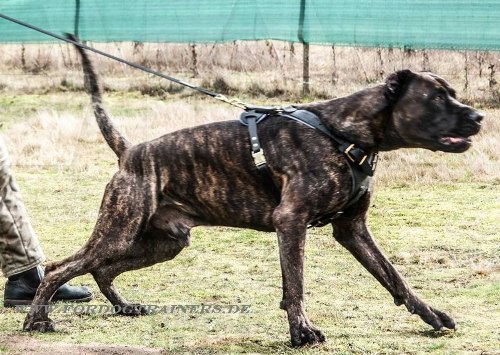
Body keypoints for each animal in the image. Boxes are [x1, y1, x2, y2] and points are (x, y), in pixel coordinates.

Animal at [22, 39, 480, 348]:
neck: (343, 134)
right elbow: (295, 284)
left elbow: (394, 277)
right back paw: (37, 320)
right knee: (64, 266)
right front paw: (301, 331)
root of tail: (131, 151)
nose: (478, 116)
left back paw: (123, 306)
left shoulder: (353, 230)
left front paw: (431, 316)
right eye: (436, 97)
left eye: (452, 93)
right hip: (119, 231)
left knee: (102, 270)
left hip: (163, 243)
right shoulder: (291, 222)